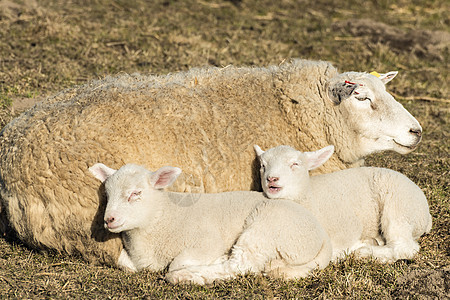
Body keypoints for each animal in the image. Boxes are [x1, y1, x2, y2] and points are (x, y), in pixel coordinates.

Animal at [89, 163, 332, 284]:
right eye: (107, 195)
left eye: (135, 194)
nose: (108, 220)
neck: (162, 218)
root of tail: (322, 236)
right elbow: (124, 263)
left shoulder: (206, 241)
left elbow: (176, 263)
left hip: (267, 227)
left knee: (241, 266)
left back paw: (188, 276)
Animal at [253, 144, 432, 262]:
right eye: (262, 166)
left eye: (295, 164)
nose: (272, 179)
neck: (310, 198)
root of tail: (426, 214)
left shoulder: (348, 226)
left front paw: (359, 247)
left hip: (400, 207)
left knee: (405, 247)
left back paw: (367, 252)